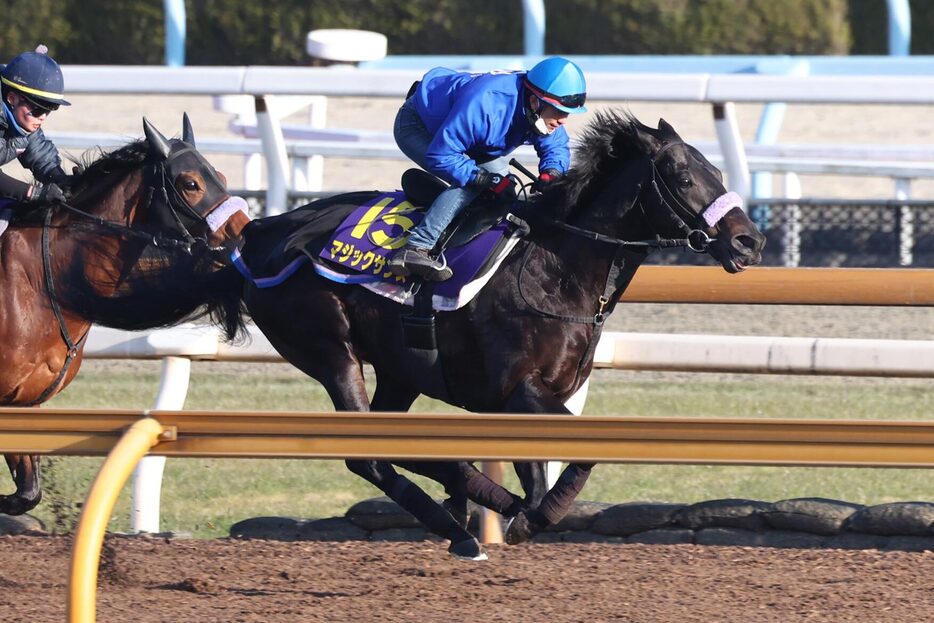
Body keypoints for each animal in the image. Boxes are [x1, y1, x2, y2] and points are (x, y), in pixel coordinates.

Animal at [0, 116, 241, 516]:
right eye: (191, 184)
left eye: (220, 174)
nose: (242, 230)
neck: (39, 280)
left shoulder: (24, 403)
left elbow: (27, 493)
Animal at [67, 111, 768, 560]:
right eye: (682, 175)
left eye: (712, 167)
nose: (748, 241)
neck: (558, 265)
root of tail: (250, 241)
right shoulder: (517, 392)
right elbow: (575, 460)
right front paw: (525, 517)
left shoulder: (539, 398)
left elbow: (546, 469)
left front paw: (523, 509)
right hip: (333, 351)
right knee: (368, 453)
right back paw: (470, 512)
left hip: (401, 371)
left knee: (391, 442)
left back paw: (463, 513)